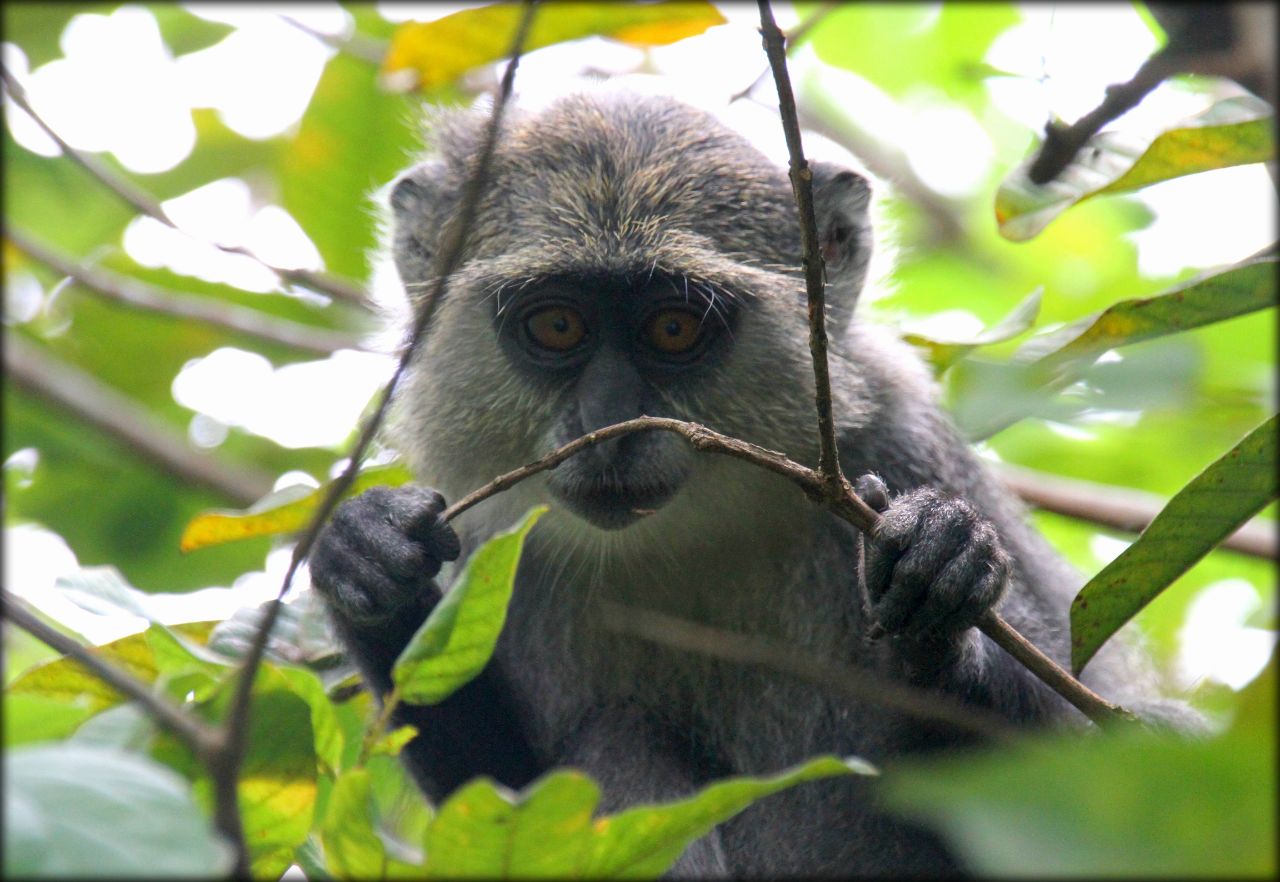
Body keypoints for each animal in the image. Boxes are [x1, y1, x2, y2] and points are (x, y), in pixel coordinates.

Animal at [307, 89, 1198, 875]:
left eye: (674, 327)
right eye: (557, 324)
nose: (611, 424)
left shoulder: (902, 441)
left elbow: (1085, 761)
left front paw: (941, 576)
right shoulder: (491, 541)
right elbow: (503, 792)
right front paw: (370, 566)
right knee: (623, 737)